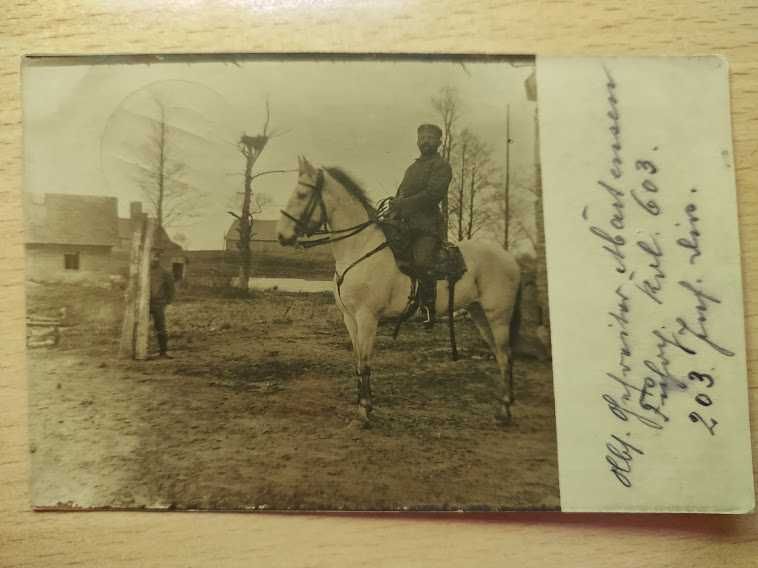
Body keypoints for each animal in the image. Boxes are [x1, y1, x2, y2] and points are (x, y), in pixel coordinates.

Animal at [280, 158, 524, 424]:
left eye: (302, 194)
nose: (282, 235)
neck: (359, 248)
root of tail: (509, 258)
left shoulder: (367, 318)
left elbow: (365, 362)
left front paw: (365, 410)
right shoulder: (349, 319)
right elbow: (357, 361)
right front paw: (361, 405)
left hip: (498, 317)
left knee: (506, 355)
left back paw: (505, 410)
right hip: (479, 313)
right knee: (500, 354)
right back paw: (503, 408)